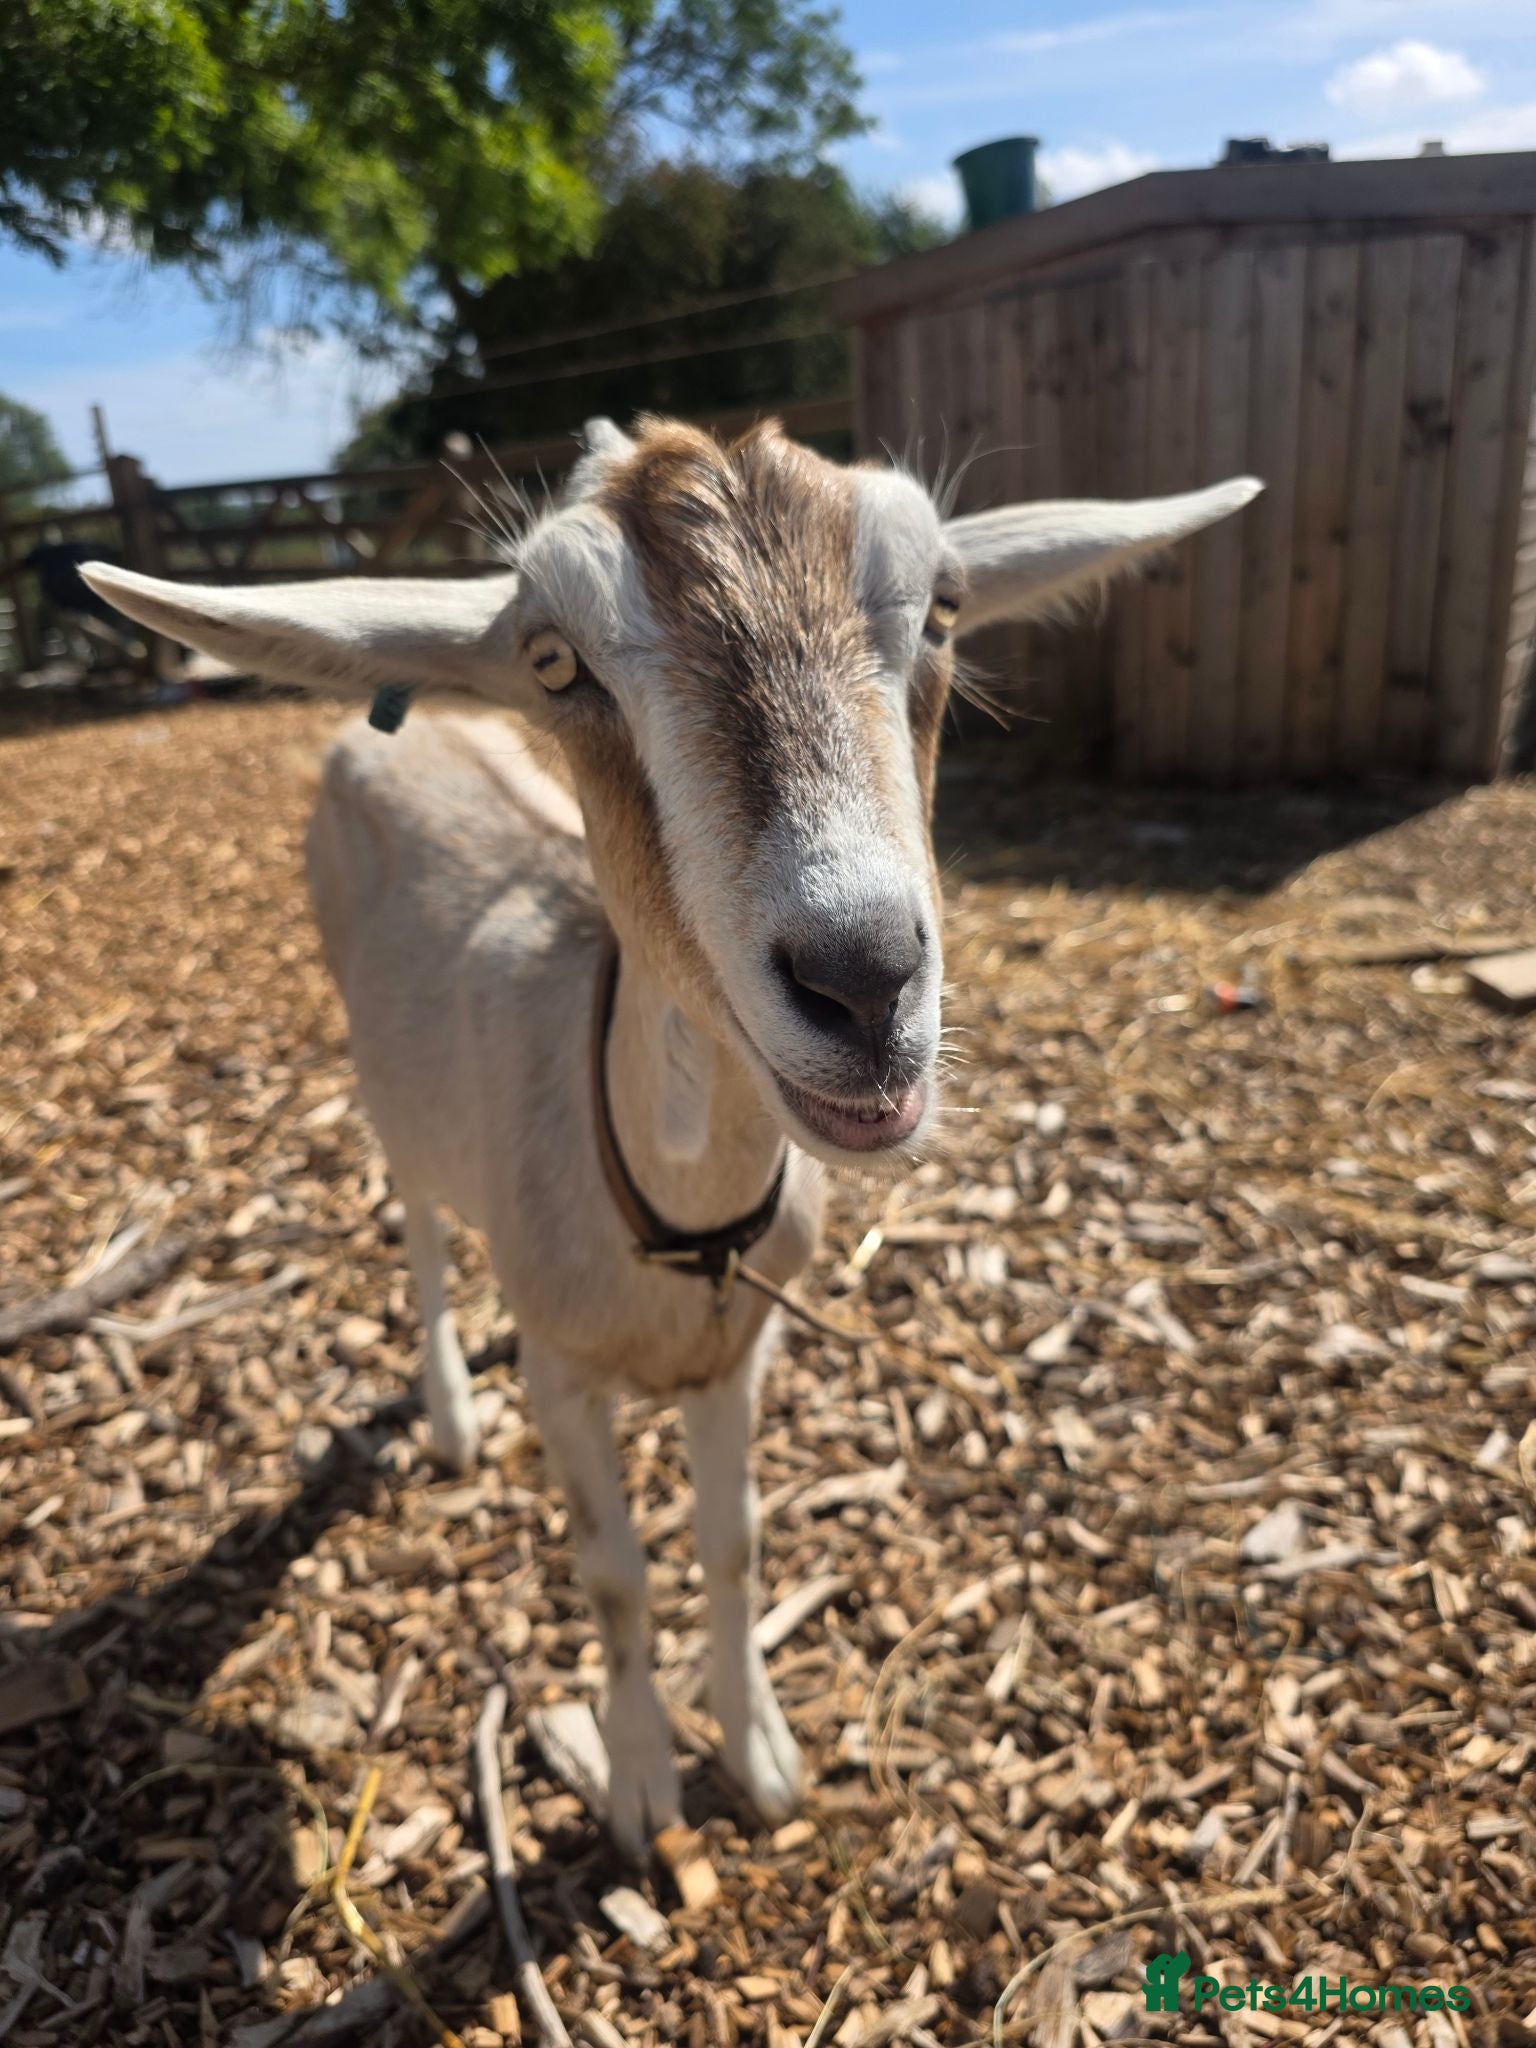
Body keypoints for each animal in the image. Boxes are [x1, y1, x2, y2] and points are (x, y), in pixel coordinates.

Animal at [84, 418, 1258, 1854]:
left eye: (945, 606)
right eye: (552, 655)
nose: (863, 979)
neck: (667, 1215)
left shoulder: (734, 1356)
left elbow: (730, 1544)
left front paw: (759, 1759)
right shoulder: (564, 1375)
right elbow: (613, 1571)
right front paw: (639, 1783)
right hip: (376, 1073)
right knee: (415, 1216)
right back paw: (450, 1409)